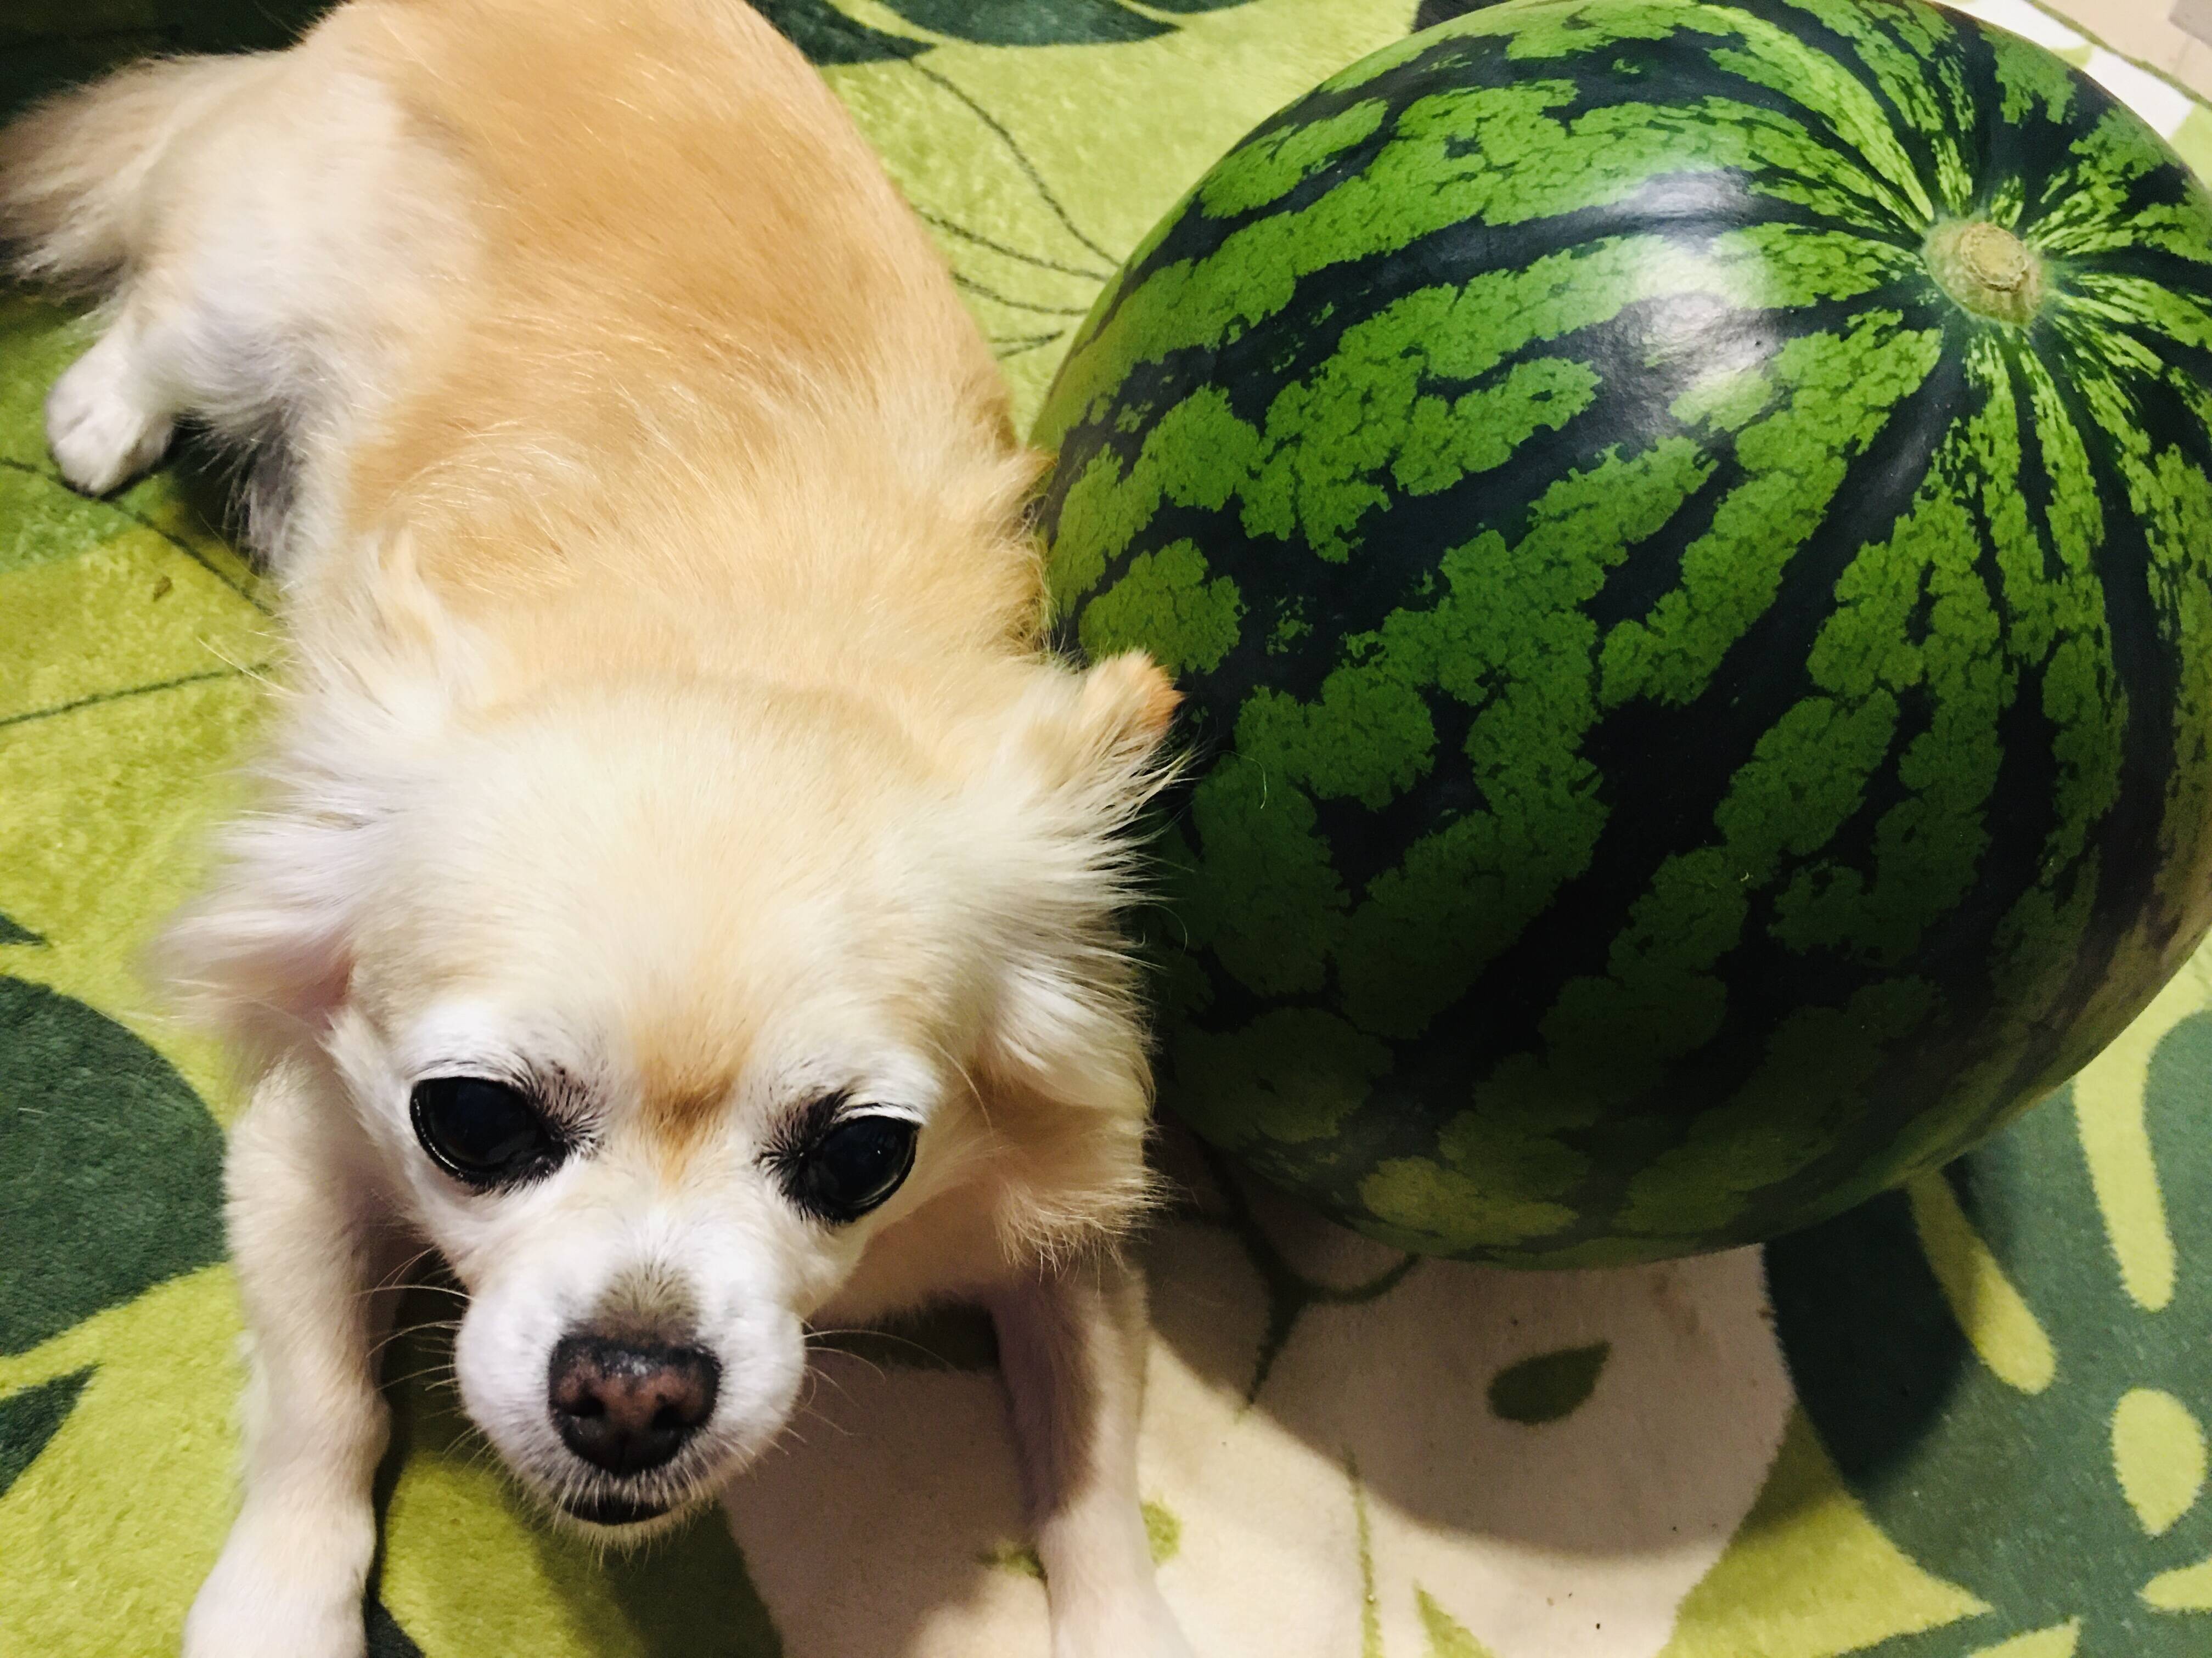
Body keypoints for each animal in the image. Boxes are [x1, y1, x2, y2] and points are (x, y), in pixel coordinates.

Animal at [0, 3, 1194, 1658]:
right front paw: (276, 1600)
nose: (633, 1385)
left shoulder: (1064, 1228)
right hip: (248, 301)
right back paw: (102, 409)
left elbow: (1088, 1456)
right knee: (162, 296)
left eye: (862, 1156)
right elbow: (320, 1402)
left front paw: (1124, 1614)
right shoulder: (304, 1136)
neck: (732, 643)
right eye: (470, 1120)